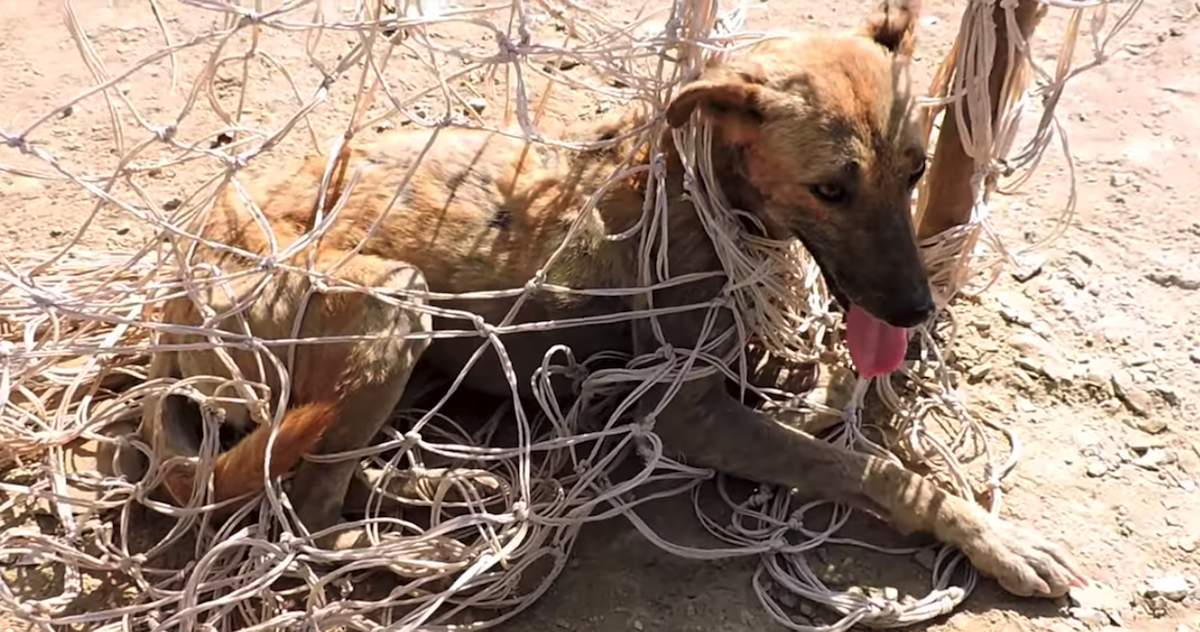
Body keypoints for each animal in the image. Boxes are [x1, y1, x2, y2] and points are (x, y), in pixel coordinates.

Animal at [114, 0, 1089, 602]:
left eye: (917, 171)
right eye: (832, 190)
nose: (920, 311)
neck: (700, 190)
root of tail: (173, 296)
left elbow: (827, 408)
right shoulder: (685, 416)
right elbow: (872, 466)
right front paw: (990, 535)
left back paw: (440, 481)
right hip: (394, 305)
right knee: (302, 518)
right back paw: (433, 541)